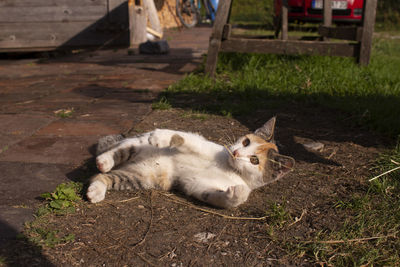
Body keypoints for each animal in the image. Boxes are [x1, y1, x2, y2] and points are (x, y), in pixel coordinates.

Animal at [86, 118, 294, 209]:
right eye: (246, 142)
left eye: (254, 160)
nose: (235, 152)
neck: (229, 168)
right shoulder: (204, 145)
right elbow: (184, 139)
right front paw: (162, 136)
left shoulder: (198, 185)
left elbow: (218, 197)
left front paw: (238, 194)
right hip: (139, 144)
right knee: (119, 148)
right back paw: (105, 160)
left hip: (140, 177)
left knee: (102, 176)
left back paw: (96, 189)